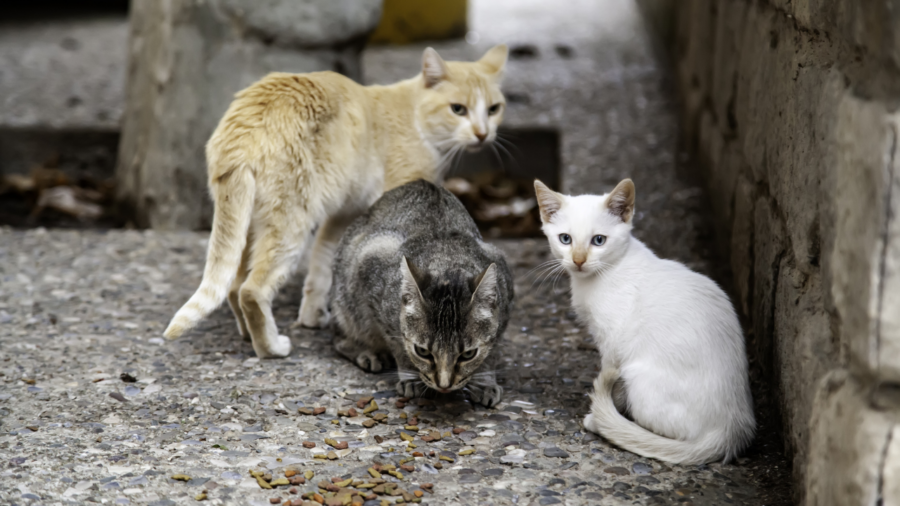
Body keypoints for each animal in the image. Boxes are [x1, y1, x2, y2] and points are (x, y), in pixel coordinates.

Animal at [330, 180, 512, 406]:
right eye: (422, 351)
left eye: (468, 354)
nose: (444, 385)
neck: (446, 261)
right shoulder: (371, 263)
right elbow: (399, 344)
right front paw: (411, 377)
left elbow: (490, 352)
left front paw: (484, 381)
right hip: (346, 302)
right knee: (340, 338)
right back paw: (368, 352)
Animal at [536, 177, 756, 462]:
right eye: (565, 239)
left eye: (598, 240)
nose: (578, 260)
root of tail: (732, 427)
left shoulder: (613, 345)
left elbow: (612, 384)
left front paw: (599, 416)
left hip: (638, 376)